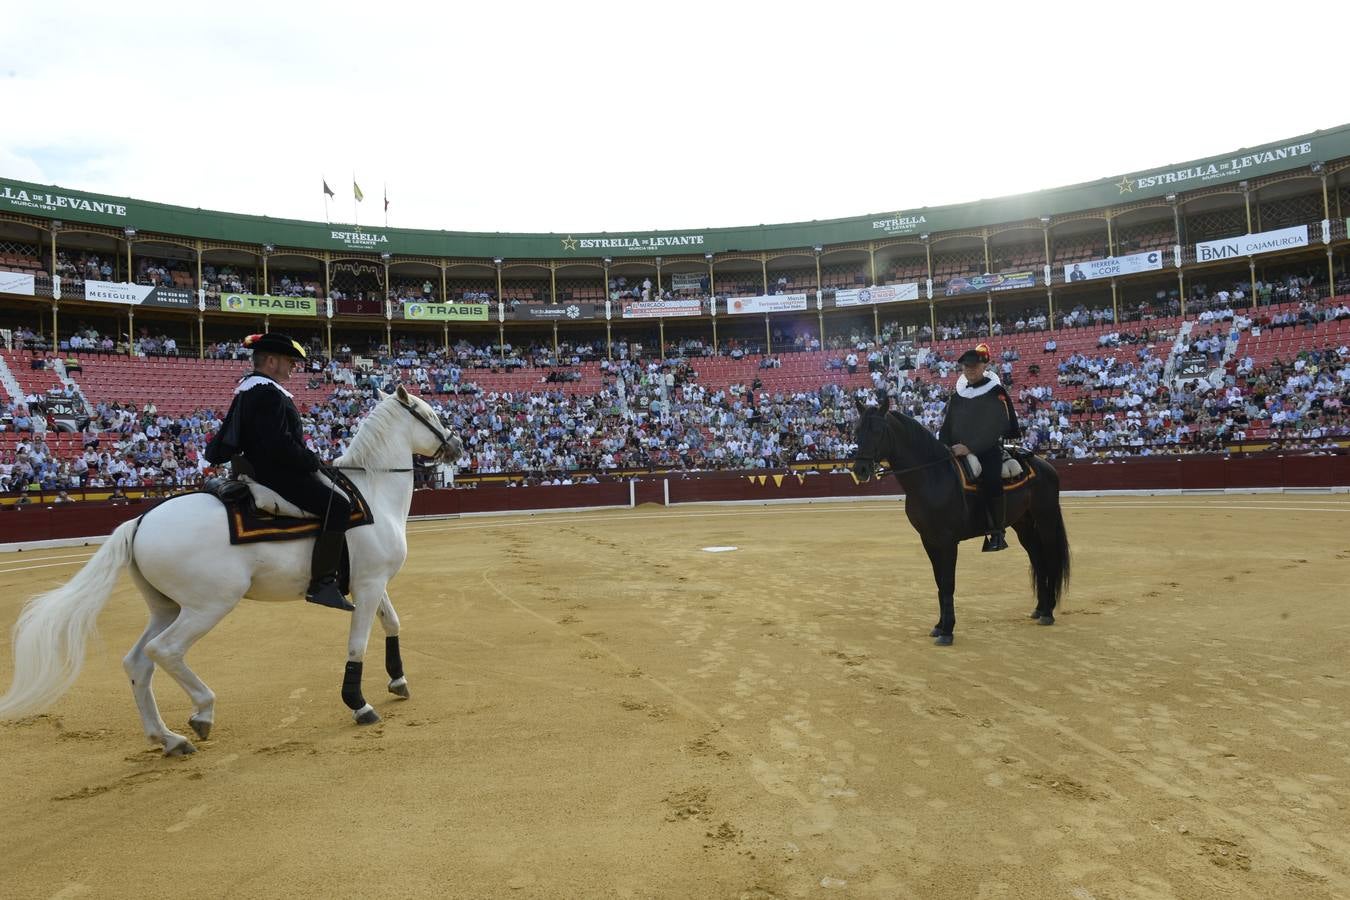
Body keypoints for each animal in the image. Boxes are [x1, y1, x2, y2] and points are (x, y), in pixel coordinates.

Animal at [0, 385, 461, 755]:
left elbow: (392, 622)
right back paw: (201, 713)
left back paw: (168, 739)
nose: (457, 445)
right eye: (432, 414)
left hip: (167, 607)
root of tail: (140, 521)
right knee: (165, 651)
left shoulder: (371, 582)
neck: (373, 491)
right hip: (210, 605)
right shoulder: (366, 586)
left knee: (138, 662)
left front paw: (398, 681)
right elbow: (357, 644)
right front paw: (359, 704)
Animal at [853, 396, 1063, 644]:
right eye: (857, 430)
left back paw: (1048, 612)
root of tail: (1043, 464)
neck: (932, 476)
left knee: (1050, 557)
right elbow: (939, 581)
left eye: (878, 430)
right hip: (1023, 525)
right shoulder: (929, 540)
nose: (860, 469)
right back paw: (1040, 609)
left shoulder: (947, 541)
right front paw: (939, 626)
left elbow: (948, 582)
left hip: (1046, 518)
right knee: (1038, 559)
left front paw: (947, 631)